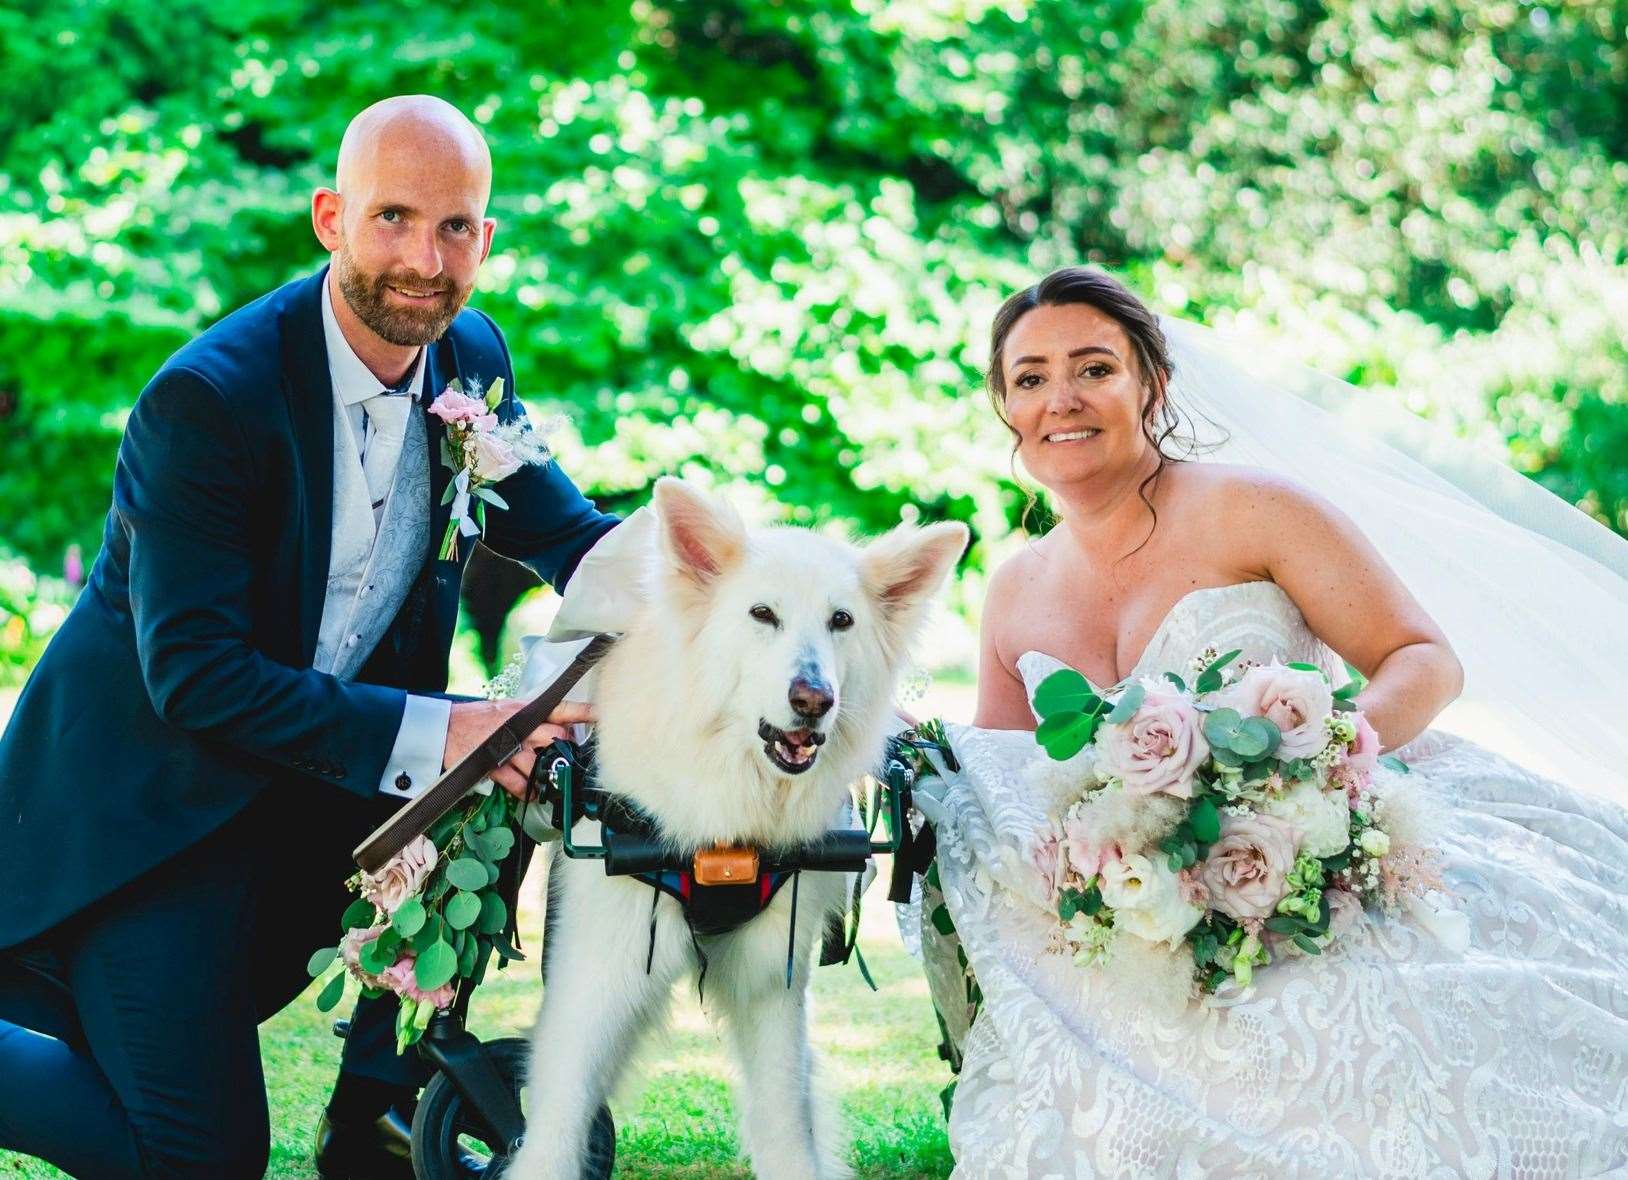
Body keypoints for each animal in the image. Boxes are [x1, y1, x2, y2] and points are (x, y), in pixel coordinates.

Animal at [507, 478, 963, 1178]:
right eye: (762, 614)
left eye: (841, 621)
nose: (813, 700)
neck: (733, 818)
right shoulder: (598, 973)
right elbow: (556, 1121)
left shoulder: (773, 982)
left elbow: (785, 1121)